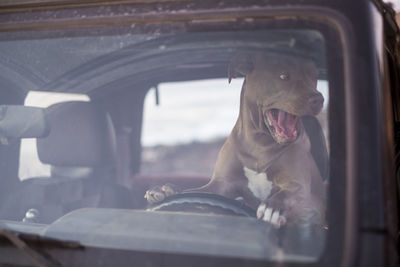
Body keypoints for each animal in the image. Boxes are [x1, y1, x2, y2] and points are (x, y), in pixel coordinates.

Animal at [145, 54, 326, 228]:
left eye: (314, 77)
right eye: (284, 75)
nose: (319, 99)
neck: (259, 145)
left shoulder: (298, 185)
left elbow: (290, 192)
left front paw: (273, 207)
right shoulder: (221, 185)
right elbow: (195, 191)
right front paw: (167, 190)